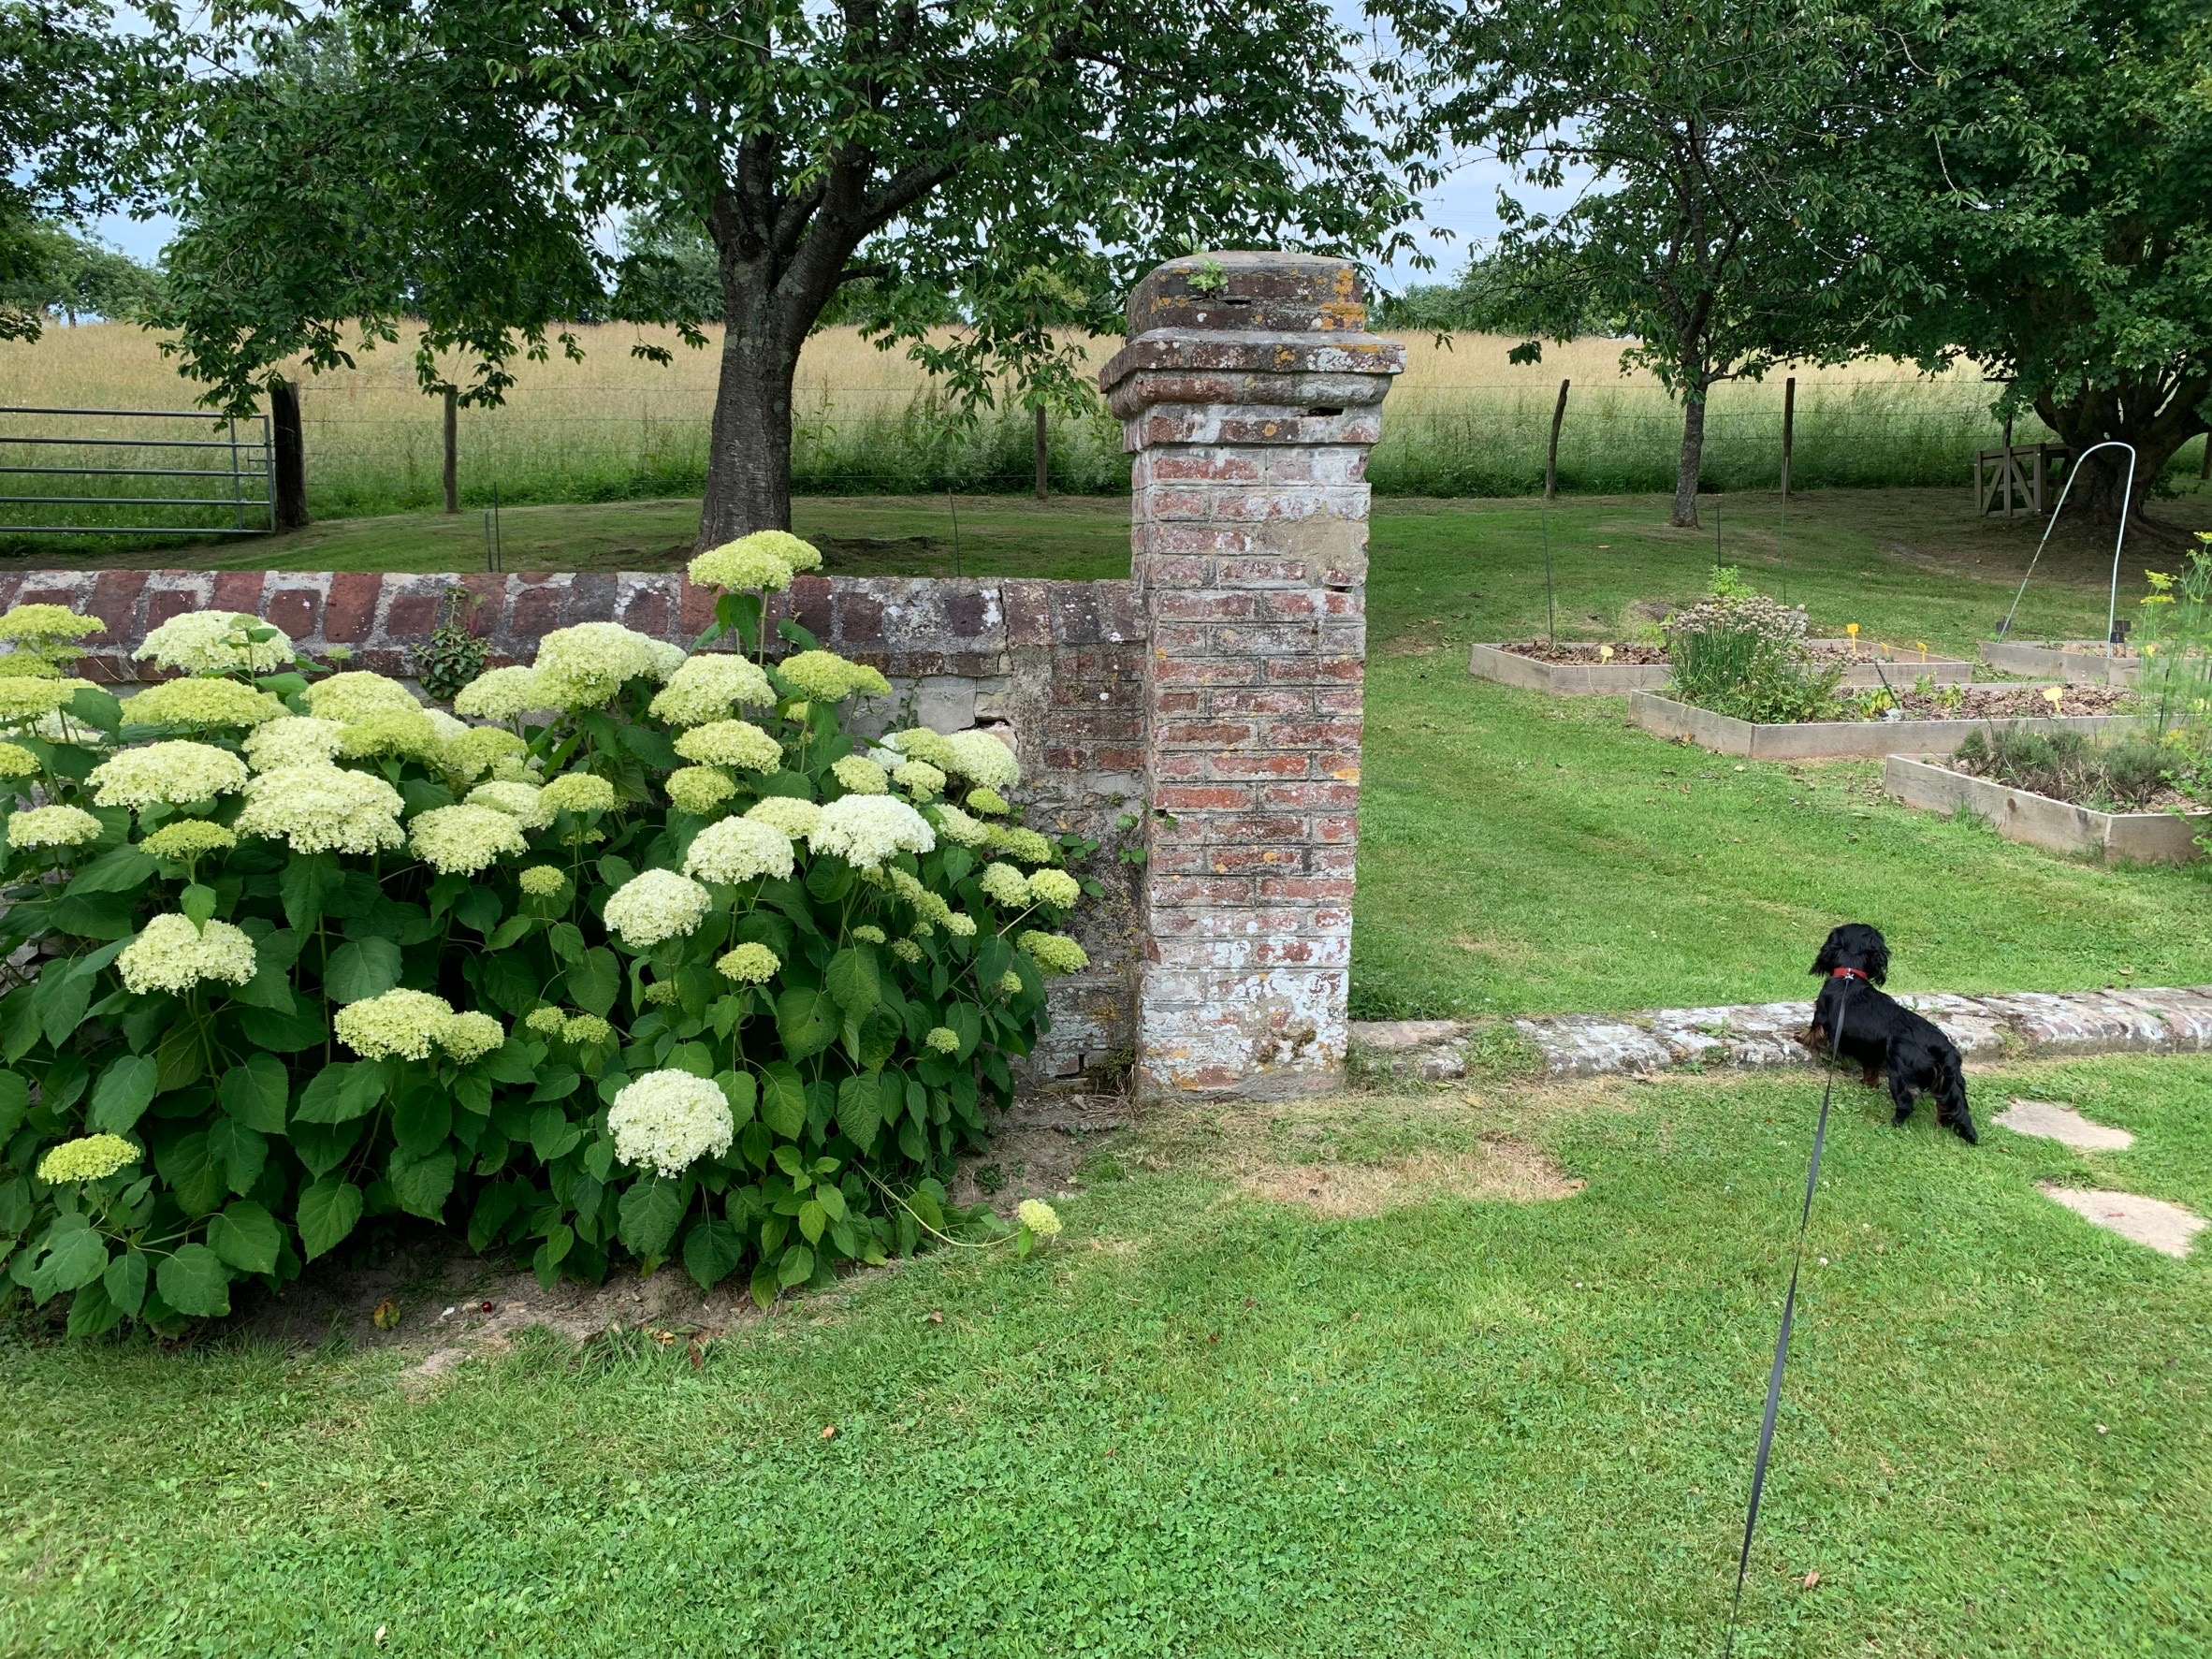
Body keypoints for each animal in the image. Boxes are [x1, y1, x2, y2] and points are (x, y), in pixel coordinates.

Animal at [1805, 924, 1982, 1141]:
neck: (1849, 975)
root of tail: (1942, 1045)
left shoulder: (1820, 1014)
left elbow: (1812, 1032)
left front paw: (1800, 1038)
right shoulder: (1872, 1051)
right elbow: (1870, 1069)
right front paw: (1867, 1083)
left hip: (1900, 1074)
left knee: (1906, 1104)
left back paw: (1893, 1123)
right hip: (1948, 1081)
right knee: (1945, 1105)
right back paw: (1938, 1126)